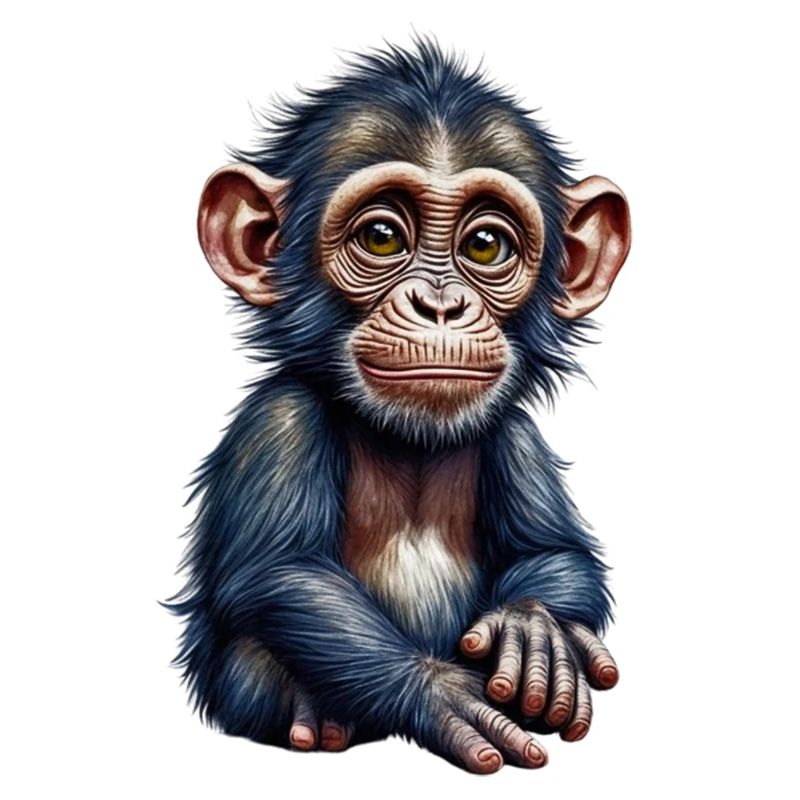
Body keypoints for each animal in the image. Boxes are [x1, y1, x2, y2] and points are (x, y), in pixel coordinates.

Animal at [167, 39, 631, 774]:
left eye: (485, 246)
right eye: (382, 237)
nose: (439, 304)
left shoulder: (518, 435)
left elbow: (555, 548)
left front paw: (534, 629)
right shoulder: (279, 422)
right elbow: (282, 571)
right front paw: (441, 691)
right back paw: (315, 718)